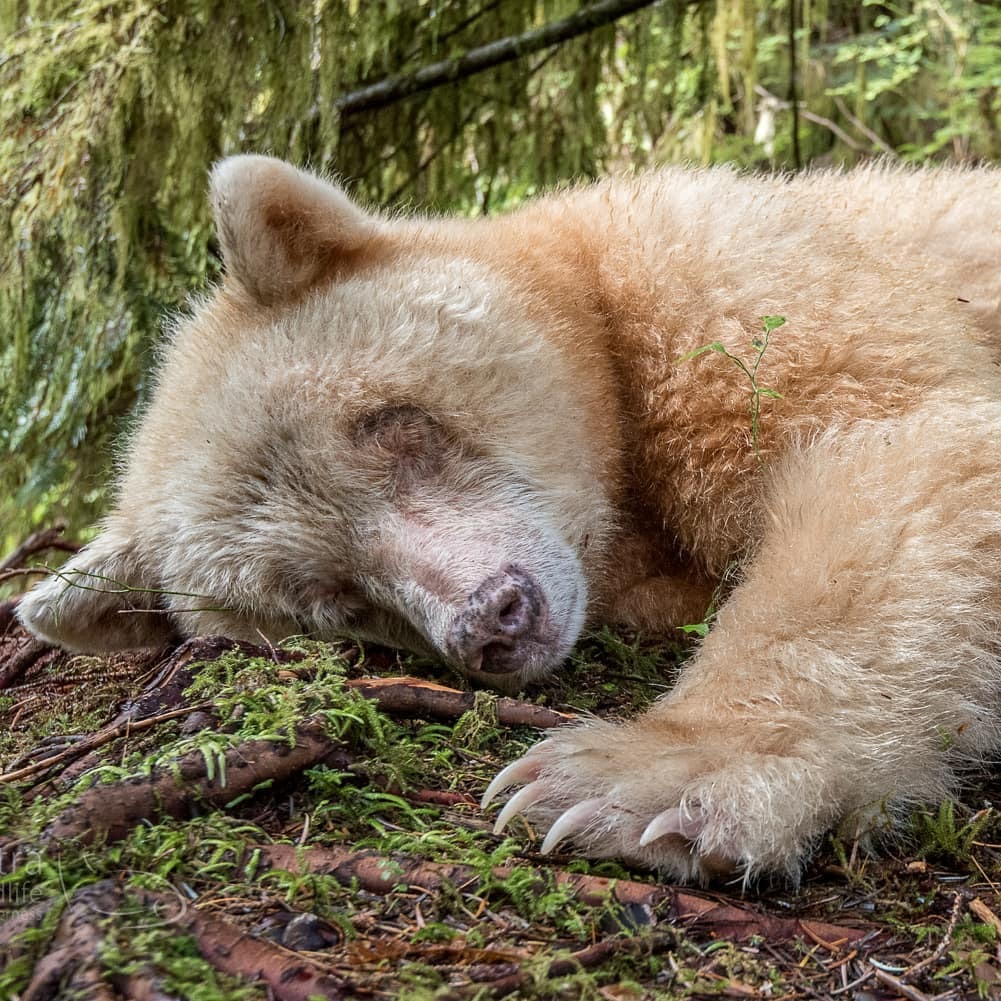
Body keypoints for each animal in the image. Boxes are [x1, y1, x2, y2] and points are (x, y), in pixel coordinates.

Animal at [17, 154, 1001, 876]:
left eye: (394, 422)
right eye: (329, 600)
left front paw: (629, 783)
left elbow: (899, 451)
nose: (495, 616)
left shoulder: (742, 278)